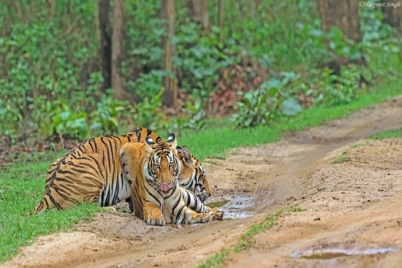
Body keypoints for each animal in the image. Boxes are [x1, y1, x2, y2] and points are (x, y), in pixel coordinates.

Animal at [31, 127, 212, 214]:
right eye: (202, 175)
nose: (210, 193)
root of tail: (48, 194)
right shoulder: (129, 153)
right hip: (93, 165)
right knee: (81, 207)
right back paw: (109, 209)